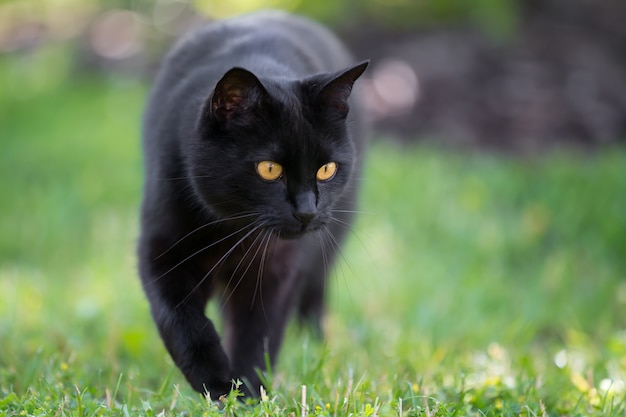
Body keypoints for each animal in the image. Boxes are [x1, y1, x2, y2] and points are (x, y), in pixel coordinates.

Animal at [138, 10, 366, 396]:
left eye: (327, 169)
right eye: (269, 169)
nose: (306, 210)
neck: (234, 234)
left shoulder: (280, 268)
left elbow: (259, 332)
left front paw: (246, 391)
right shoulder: (161, 249)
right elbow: (179, 317)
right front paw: (214, 380)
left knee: (314, 294)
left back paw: (315, 345)